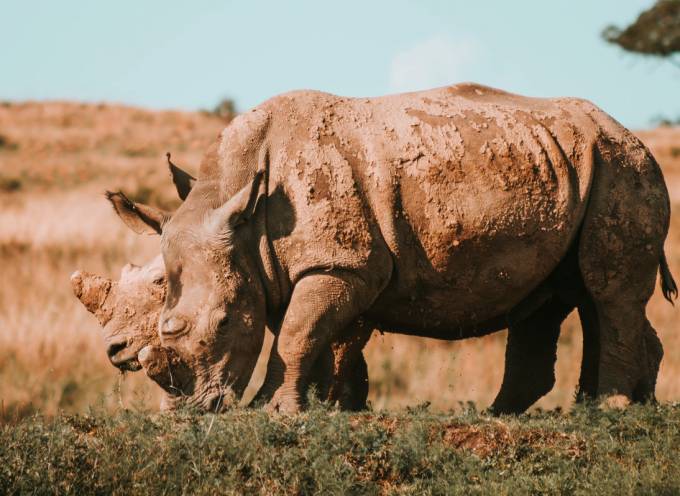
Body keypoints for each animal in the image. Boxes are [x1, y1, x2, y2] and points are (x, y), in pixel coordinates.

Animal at [112, 83, 677, 414]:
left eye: (225, 321)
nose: (191, 409)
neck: (238, 204)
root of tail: (629, 134)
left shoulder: (341, 264)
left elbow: (296, 335)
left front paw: (271, 412)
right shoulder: (279, 268)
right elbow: (309, 336)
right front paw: (324, 409)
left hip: (622, 167)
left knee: (606, 290)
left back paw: (609, 410)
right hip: (573, 165)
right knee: (564, 294)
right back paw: (572, 411)